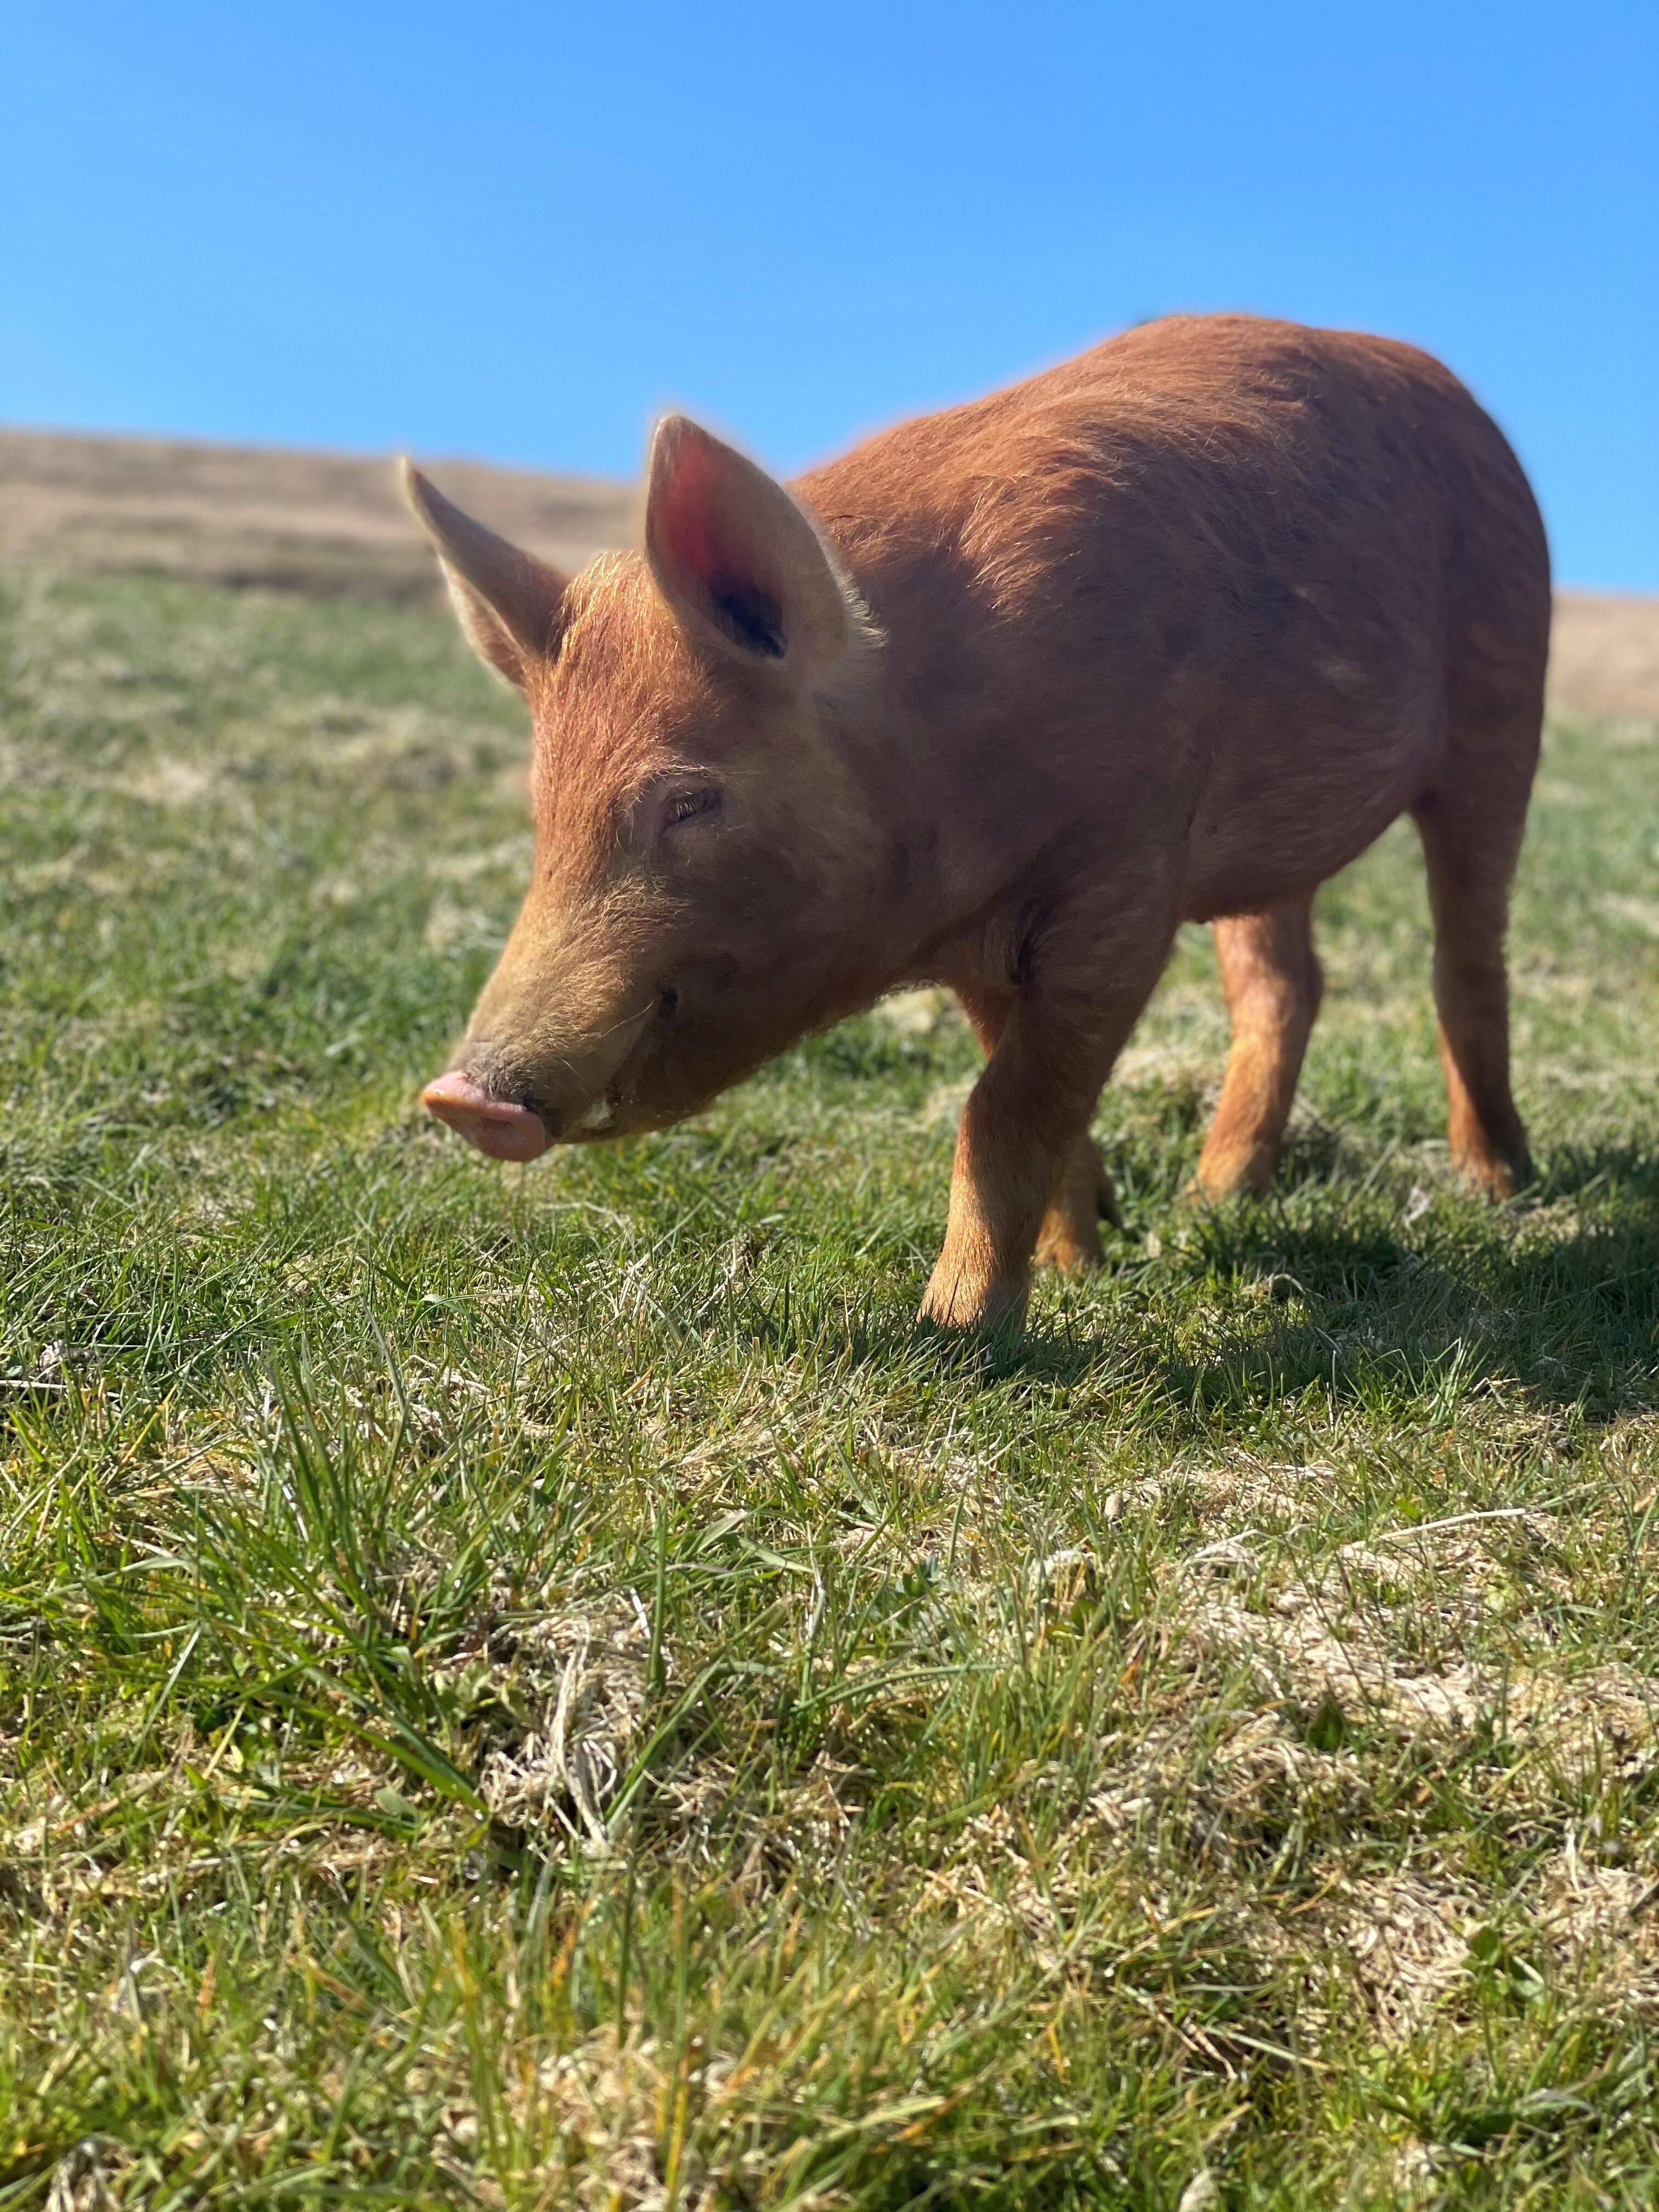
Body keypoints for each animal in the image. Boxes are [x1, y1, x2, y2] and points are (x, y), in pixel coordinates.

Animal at [406, 313, 1548, 1330]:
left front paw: (958, 1330)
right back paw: (1215, 1196)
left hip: (1503, 689)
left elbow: (1003, 1107)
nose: (461, 1096)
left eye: (689, 801)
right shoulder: (978, 944)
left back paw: (1499, 1188)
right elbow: (1023, 1089)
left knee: (1464, 952)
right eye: (544, 811)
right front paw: (1083, 1262)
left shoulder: (1126, 864)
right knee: (1283, 984)